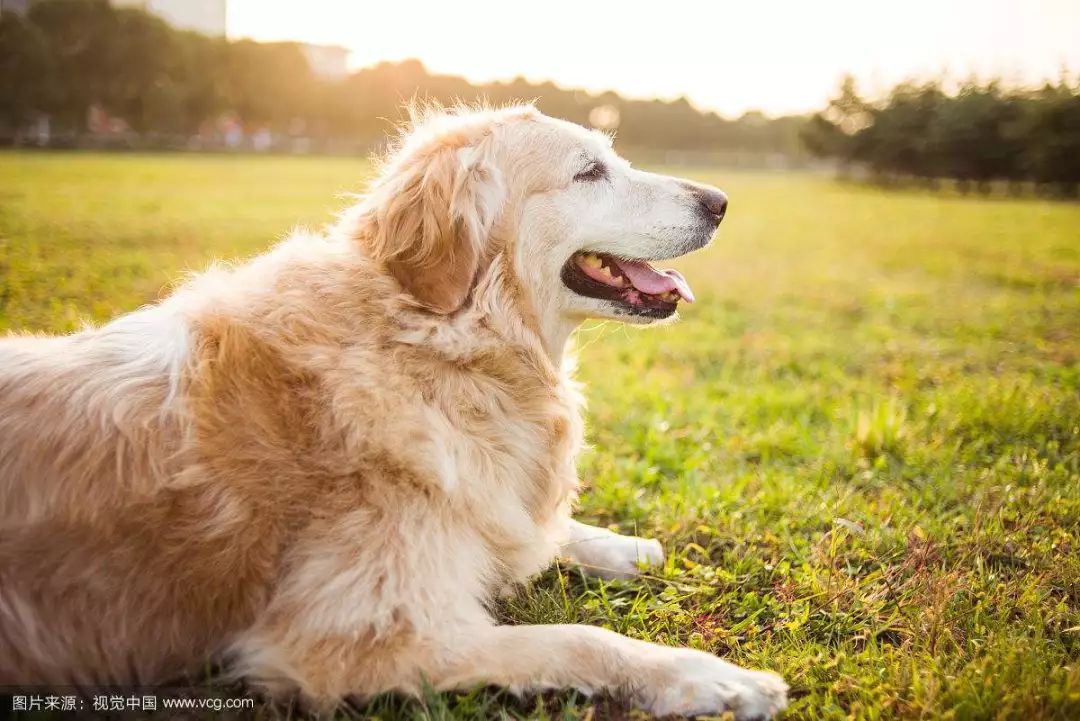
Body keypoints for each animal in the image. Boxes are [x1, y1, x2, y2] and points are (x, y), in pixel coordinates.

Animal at [0, 104, 786, 716]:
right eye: (589, 171)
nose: (720, 201)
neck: (437, 340)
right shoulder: (356, 638)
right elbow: (577, 639)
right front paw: (708, 675)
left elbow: (530, 530)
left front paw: (619, 546)